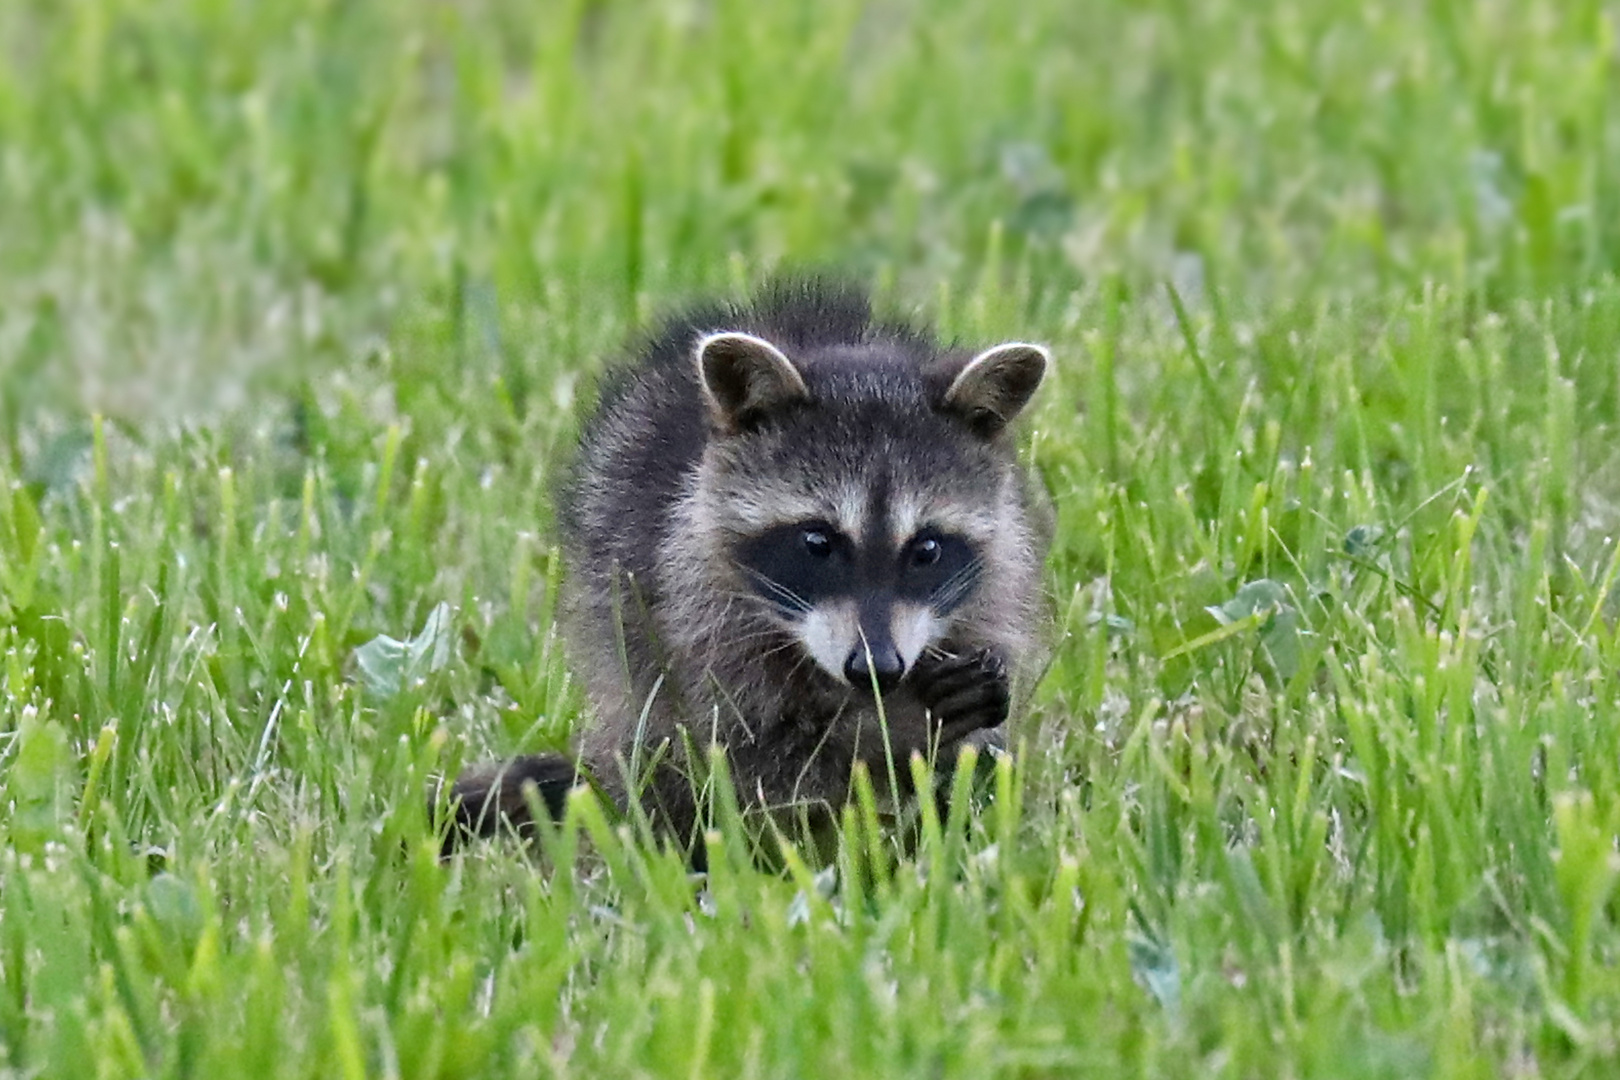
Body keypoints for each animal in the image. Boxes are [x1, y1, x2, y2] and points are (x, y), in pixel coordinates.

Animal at [443, 283, 1049, 854]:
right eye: (816, 542)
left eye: (926, 550)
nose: (876, 668)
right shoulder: (689, 606)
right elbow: (755, 755)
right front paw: (896, 724)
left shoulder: (996, 584)